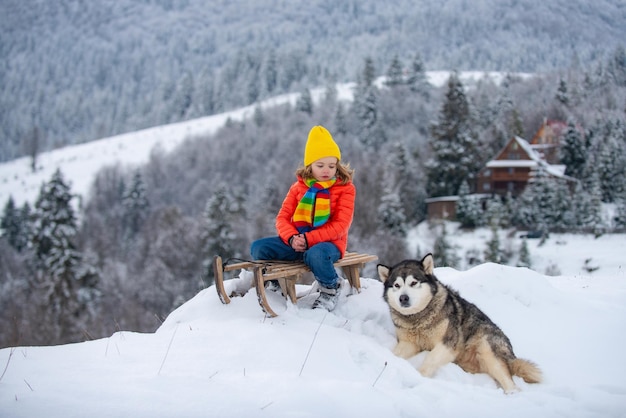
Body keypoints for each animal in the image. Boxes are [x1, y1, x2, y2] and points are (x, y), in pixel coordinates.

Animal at [376, 253, 540, 394]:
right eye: (396, 285)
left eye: (413, 283)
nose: (403, 298)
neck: (418, 320)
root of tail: (511, 352)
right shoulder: (408, 343)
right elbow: (395, 354)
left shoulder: (448, 344)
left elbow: (430, 359)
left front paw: (419, 375)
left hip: (487, 349)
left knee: (509, 381)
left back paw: (512, 393)